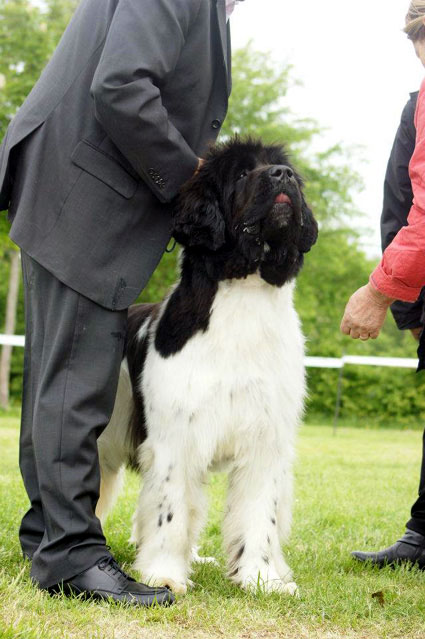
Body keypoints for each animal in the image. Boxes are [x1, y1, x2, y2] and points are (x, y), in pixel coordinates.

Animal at [95, 138, 314, 596]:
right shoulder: (175, 437)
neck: (245, 292)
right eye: (243, 173)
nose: (282, 176)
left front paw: (261, 578)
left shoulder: (266, 438)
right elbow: (169, 511)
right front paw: (162, 574)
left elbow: (259, 514)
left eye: (282, 167)